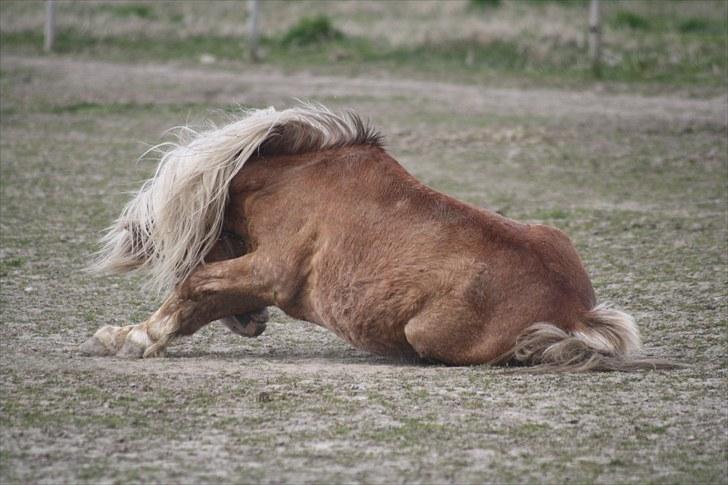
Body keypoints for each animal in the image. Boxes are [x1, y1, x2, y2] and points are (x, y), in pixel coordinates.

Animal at [81, 105, 672, 370]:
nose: (254, 325)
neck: (285, 180)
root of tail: (578, 311)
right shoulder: (252, 282)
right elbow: (196, 302)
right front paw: (123, 337)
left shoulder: (268, 273)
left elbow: (193, 286)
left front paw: (135, 337)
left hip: (428, 335)